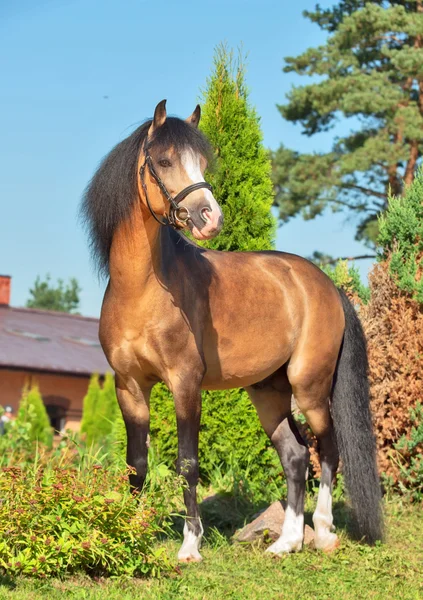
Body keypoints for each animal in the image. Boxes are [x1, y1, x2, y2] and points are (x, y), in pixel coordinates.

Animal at [82, 99, 384, 564]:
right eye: (164, 161)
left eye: (203, 162)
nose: (210, 218)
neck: (143, 290)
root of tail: (325, 284)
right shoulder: (128, 386)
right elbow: (137, 463)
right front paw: (128, 535)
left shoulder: (185, 383)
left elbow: (188, 463)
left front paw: (190, 546)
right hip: (268, 392)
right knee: (296, 456)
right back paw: (286, 543)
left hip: (310, 387)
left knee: (327, 450)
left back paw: (324, 532)